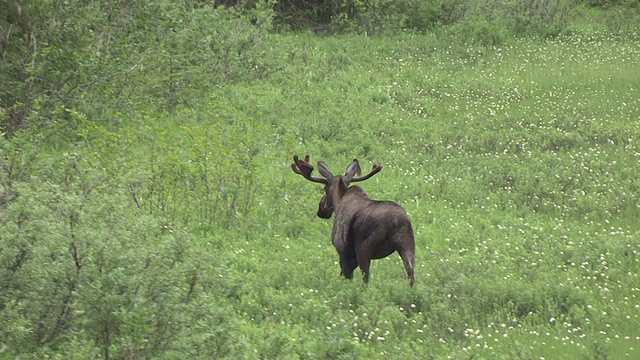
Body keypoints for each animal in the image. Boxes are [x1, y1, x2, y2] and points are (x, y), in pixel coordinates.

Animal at [292, 155, 418, 286]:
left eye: (324, 188)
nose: (321, 208)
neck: (338, 200)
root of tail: (396, 222)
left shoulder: (342, 248)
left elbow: (346, 275)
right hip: (408, 245)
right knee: (412, 275)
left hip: (364, 249)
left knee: (366, 279)